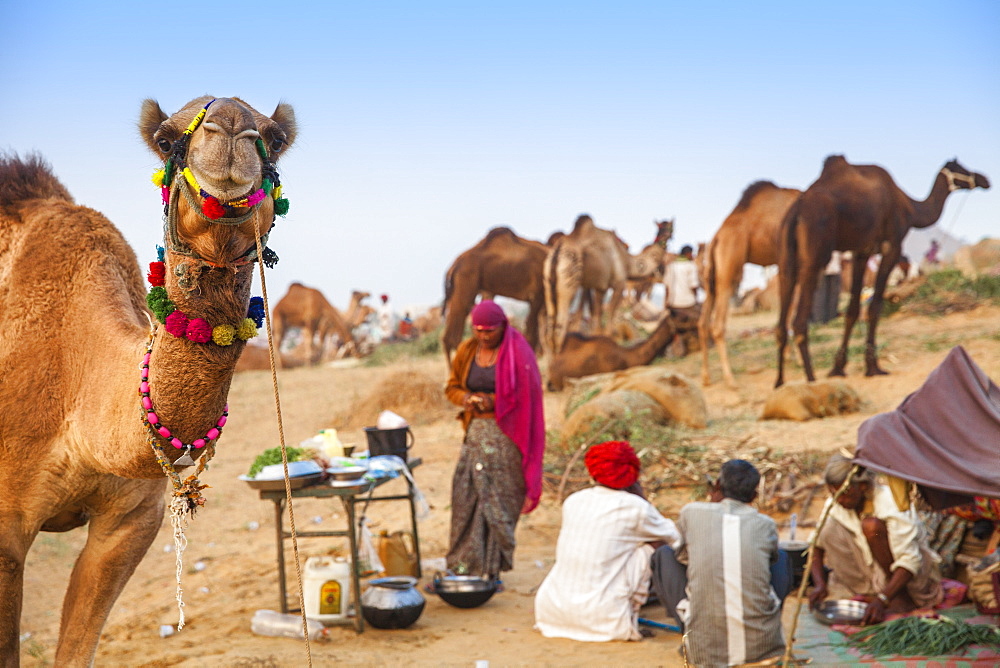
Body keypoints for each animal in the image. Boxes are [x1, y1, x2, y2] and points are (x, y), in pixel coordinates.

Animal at [700, 180, 800, 388]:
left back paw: (706, 378)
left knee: (702, 324)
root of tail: (715, 238)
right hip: (729, 268)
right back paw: (730, 379)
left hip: (710, 279)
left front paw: (789, 356)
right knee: (717, 325)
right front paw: (797, 359)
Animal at [776, 156, 988, 386]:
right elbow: (875, 307)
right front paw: (873, 367)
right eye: (961, 168)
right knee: (799, 321)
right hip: (816, 253)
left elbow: (853, 310)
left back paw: (780, 382)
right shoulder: (891, 247)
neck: (910, 208)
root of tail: (797, 210)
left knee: (782, 316)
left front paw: (838, 367)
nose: (984, 179)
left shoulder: (862, 251)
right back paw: (811, 378)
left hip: (787, 257)